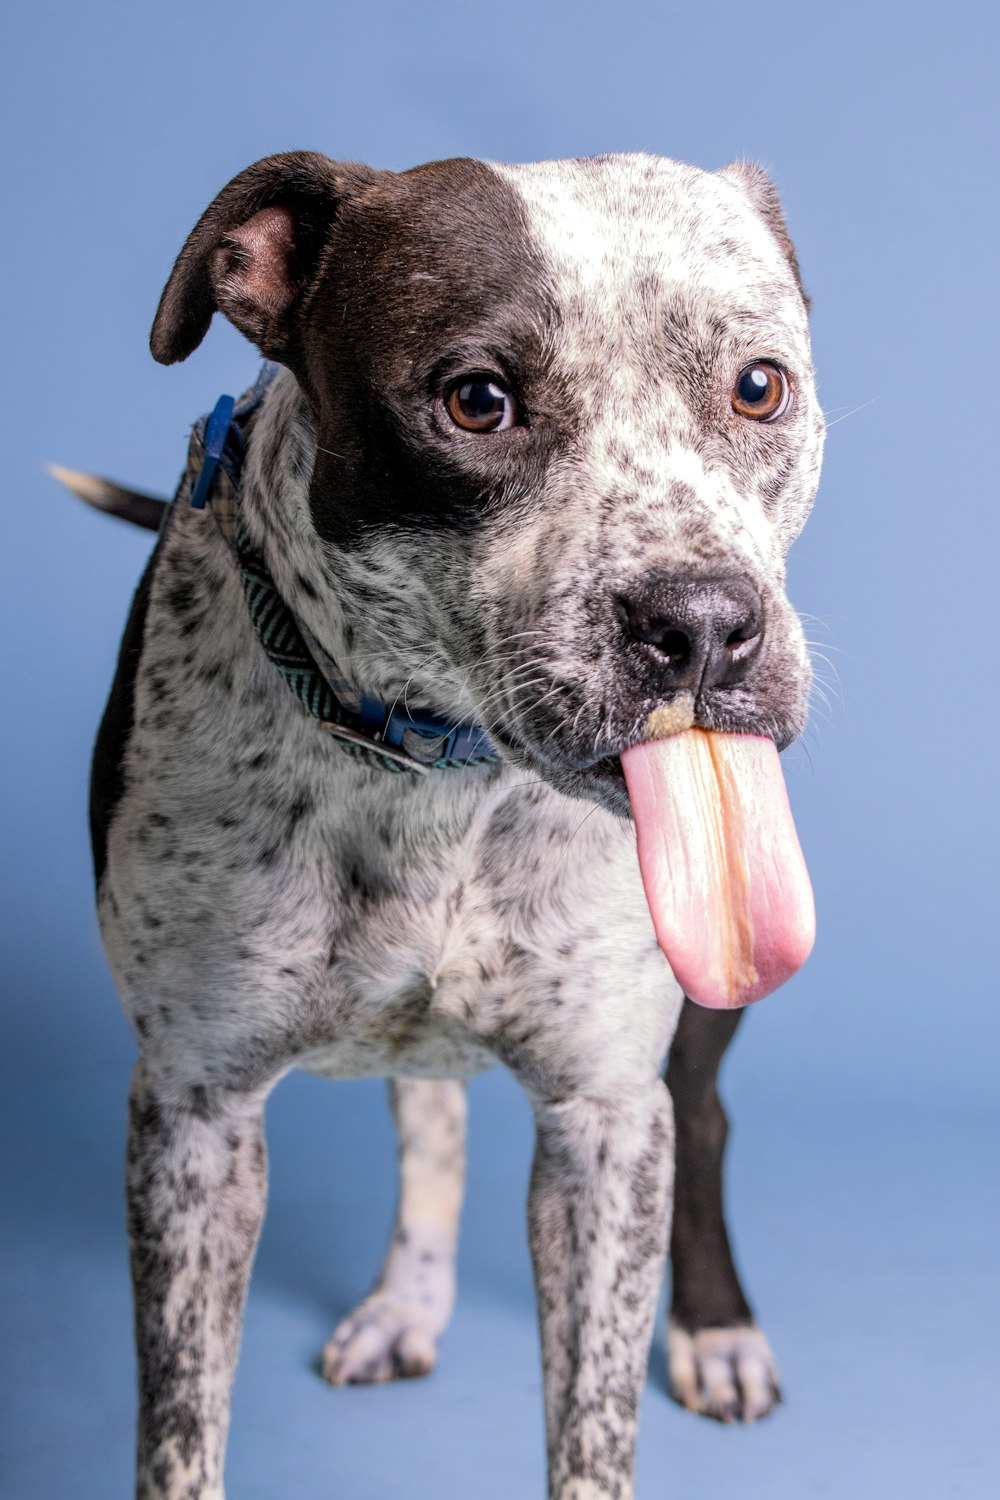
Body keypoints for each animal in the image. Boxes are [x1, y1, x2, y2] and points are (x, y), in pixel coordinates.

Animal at [82, 146, 827, 1494]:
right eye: (476, 401)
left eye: (759, 387)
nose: (703, 622)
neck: (433, 764)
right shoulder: (194, 1117)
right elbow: (178, 1429)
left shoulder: (602, 1123)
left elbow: (591, 1428)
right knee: (427, 1105)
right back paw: (407, 1302)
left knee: (702, 1116)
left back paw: (717, 1331)